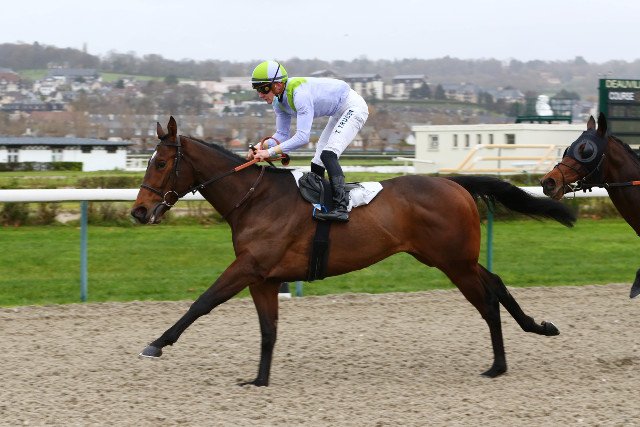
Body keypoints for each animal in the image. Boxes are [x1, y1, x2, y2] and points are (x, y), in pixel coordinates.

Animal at [131, 116, 576, 387]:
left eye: (162, 163)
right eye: (149, 161)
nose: (138, 211)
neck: (255, 199)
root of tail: (454, 183)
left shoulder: (248, 267)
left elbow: (202, 302)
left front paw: (156, 343)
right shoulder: (265, 277)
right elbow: (268, 330)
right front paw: (259, 379)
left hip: (454, 262)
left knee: (486, 301)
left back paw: (498, 365)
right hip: (451, 258)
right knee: (496, 283)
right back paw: (538, 328)